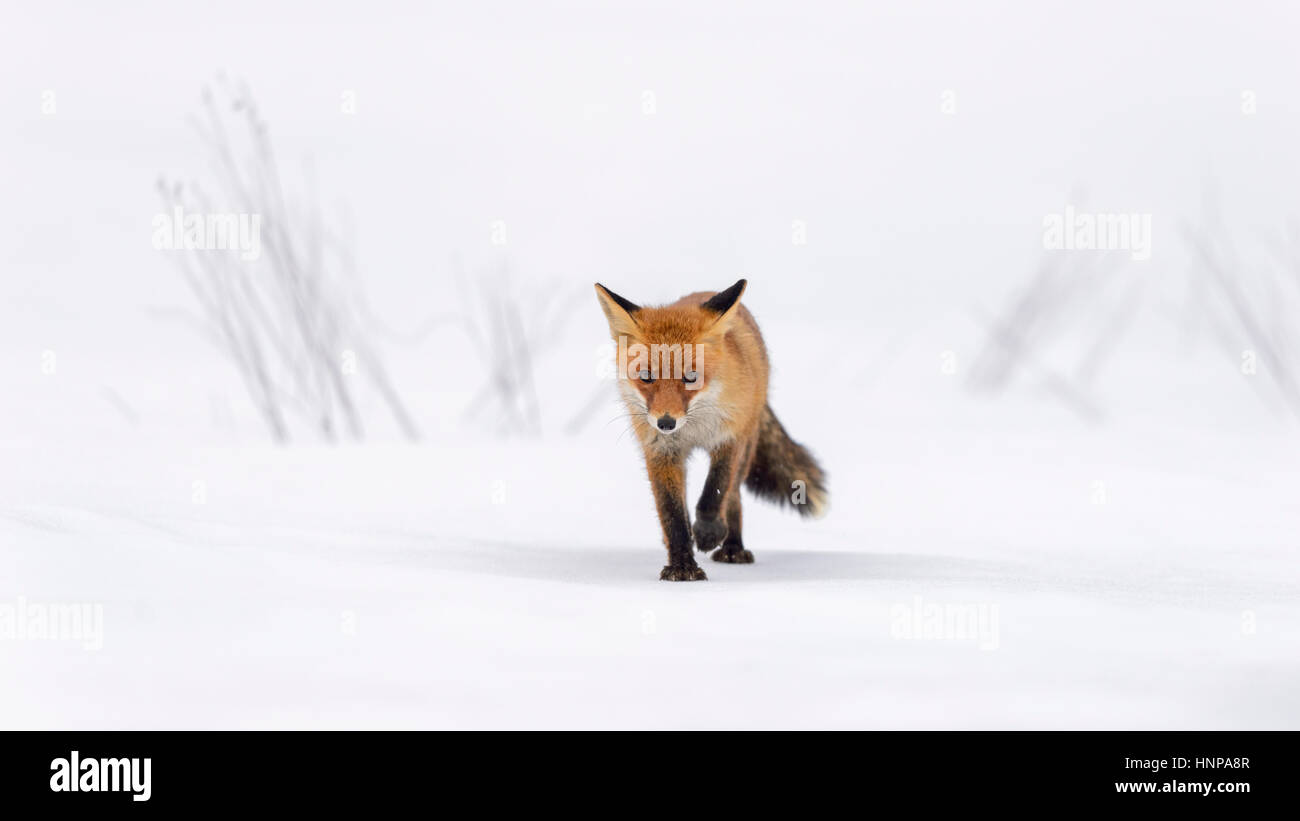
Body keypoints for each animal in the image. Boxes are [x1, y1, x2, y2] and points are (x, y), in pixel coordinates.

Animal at [594, 278, 828, 581]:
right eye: (646, 376)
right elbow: (672, 513)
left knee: (734, 496)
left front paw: (707, 532)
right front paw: (682, 565)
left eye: (691, 377)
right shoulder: (660, 451)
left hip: (748, 442)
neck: (694, 427)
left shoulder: (730, 438)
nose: (666, 422)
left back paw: (732, 547)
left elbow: (715, 491)